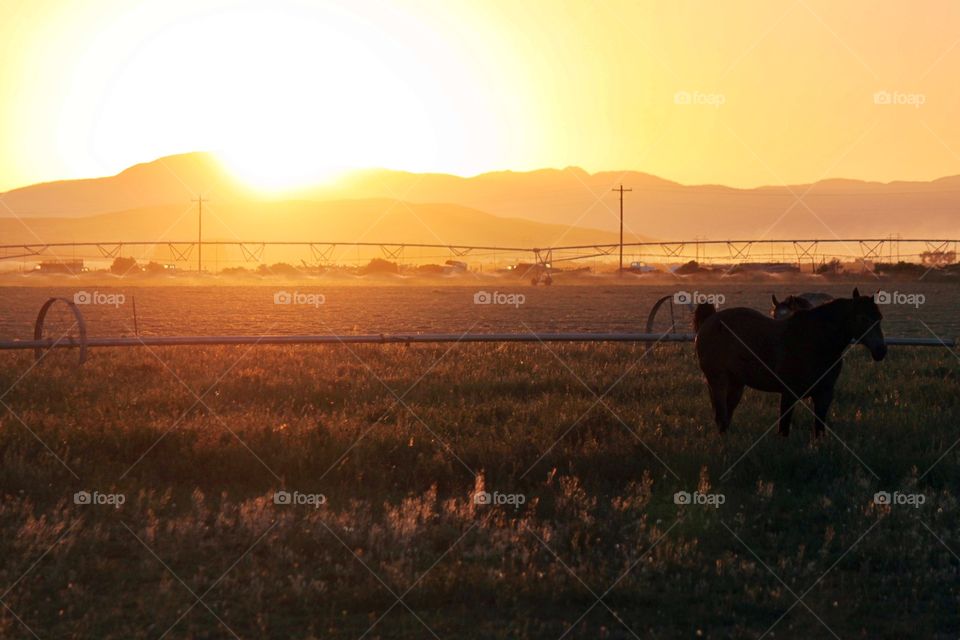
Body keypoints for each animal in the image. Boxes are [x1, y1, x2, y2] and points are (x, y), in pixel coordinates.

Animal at [692, 288, 888, 436]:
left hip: (736, 383)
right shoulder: (788, 394)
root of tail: (710, 320)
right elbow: (784, 430)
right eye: (862, 318)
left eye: (879, 317)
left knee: (726, 416)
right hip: (718, 381)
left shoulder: (824, 395)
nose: (881, 351)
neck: (814, 342)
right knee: (721, 416)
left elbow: (819, 431)